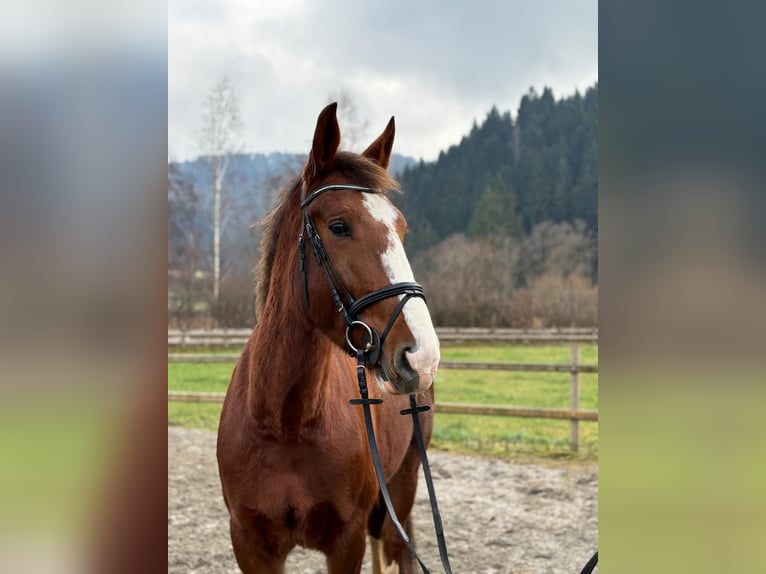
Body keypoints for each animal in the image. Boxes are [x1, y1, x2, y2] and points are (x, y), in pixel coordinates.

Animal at [217, 102, 441, 574]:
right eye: (339, 226)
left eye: (401, 230)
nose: (422, 356)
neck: (284, 421)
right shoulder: (250, 545)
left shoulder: (345, 541)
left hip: (405, 483)